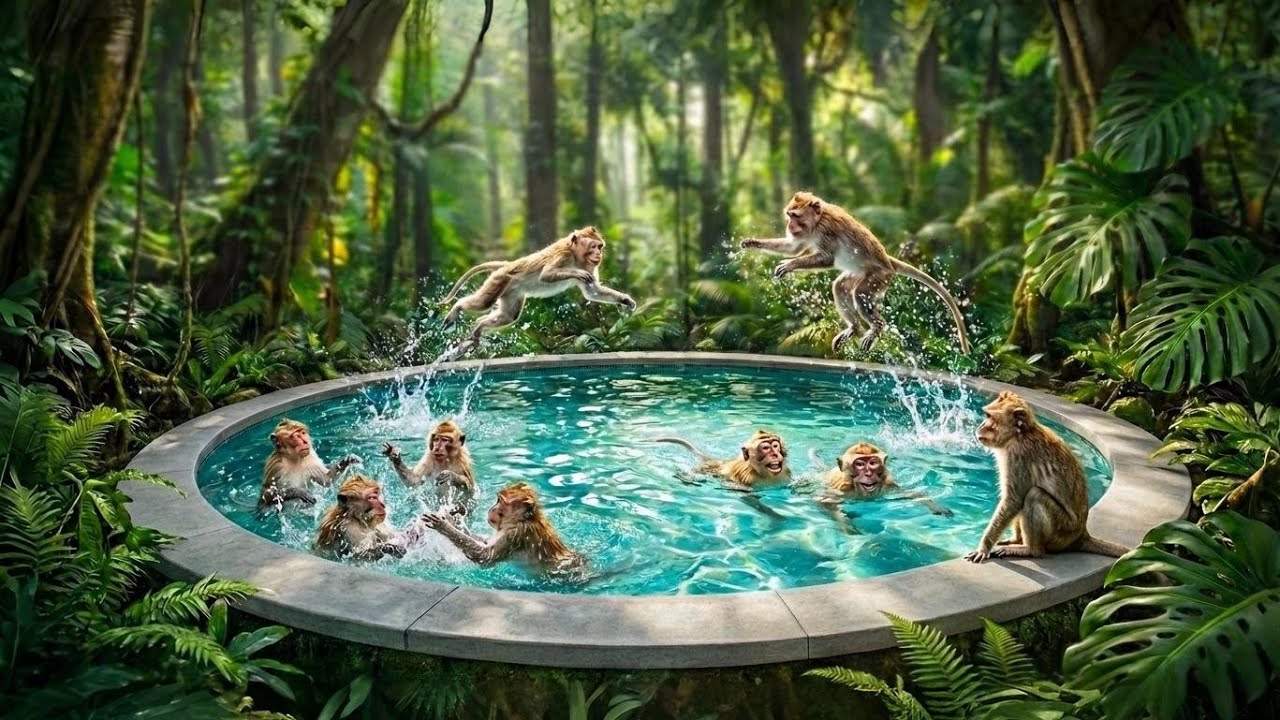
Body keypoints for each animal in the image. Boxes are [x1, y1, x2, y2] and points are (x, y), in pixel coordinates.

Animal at [420, 482, 583, 572]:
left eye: (501, 502)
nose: (492, 509)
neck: (521, 521)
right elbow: (485, 543)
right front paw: (452, 519)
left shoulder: (516, 534)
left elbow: (485, 556)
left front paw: (444, 525)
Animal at [439, 226, 637, 354]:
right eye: (594, 246)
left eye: (600, 246)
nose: (599, 254)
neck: (576, 256)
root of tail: (507, 264)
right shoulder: (563, 255)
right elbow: (546, 275)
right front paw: (577, 273)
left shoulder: (589, 265)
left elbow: (593, 291)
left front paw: (626, 300)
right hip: (499, 280)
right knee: (484, 302)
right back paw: (457, 309)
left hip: (512, 292)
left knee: (509, 316)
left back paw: (478, 327)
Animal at [740, 191, 971, 355]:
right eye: (789, 215)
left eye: (795, 216)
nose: (789, 225)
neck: (817, 220)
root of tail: (887, 260)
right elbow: (793, 248)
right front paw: (752, 242)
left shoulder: (826, 230)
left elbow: (826, 259)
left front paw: (789, 265)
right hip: (861, 273)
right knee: (841, 286)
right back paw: (854, 327)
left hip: (878, 277)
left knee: (860, 294)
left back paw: (876, 328)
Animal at [814, 442, 953, 534]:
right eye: (860, 464)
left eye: (873, 463)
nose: (868, 473)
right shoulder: (843, 490)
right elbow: (826, 502)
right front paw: (847, 525)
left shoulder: (888, 487)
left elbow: (910, 494)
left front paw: (937, 507)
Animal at [964, 391, 1128, 563]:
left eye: (990, 417)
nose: (981, 425)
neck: (1020, 434)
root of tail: (1081, 533)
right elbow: (1015, 500)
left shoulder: (1018, 454)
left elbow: (1013, 500)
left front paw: (983, 548)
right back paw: (1018, 540)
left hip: (1061, 531)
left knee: (1034, 495)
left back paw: (1030, 550)